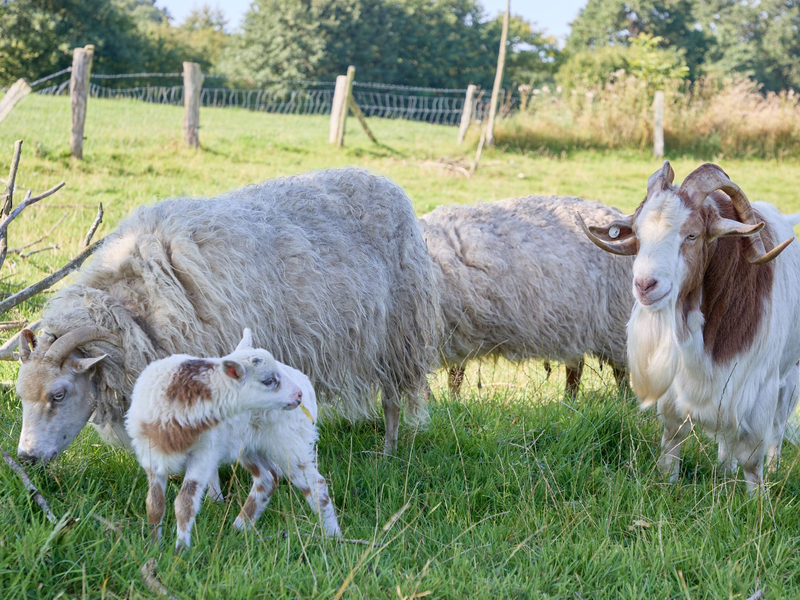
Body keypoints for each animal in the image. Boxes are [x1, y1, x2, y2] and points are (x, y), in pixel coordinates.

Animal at [15, 167, 440, 473]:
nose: (25, 458)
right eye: (20, 395)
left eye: (59, 394)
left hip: (398, 333)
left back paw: (388, 454)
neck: (140, 305)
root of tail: (386, 182)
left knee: (392, 400)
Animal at [125, 329, 340, 550]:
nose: (297, 395)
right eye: (268, 380)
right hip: (249, 446)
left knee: (316, 485)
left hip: (288, 441)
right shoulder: (151, 457)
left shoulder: (204, 456)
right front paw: (152, 546)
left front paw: (180, 550)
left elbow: (185, 502)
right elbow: (154, 504)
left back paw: (333, 536)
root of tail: (306, 383)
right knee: (268, 478)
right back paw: (239, 528)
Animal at [419, 195, 634, 396]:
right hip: (576, 325)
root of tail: (614, 212)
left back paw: (624, 401)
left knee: (621, 371)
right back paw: (569, 403)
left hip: (615, 322)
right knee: (576, 367)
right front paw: (451, 402)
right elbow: (454, 377)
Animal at [579, 161, 800, 492]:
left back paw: (770, 470)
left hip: (789, 377)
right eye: (638, 235)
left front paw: (757, 499)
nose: (645, 285)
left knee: (776, 429)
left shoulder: (757, 385)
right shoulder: (680, 384)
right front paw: (667, 483)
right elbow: (673, 438)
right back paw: (724, 471)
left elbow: (752, 458)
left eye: (692, 235)